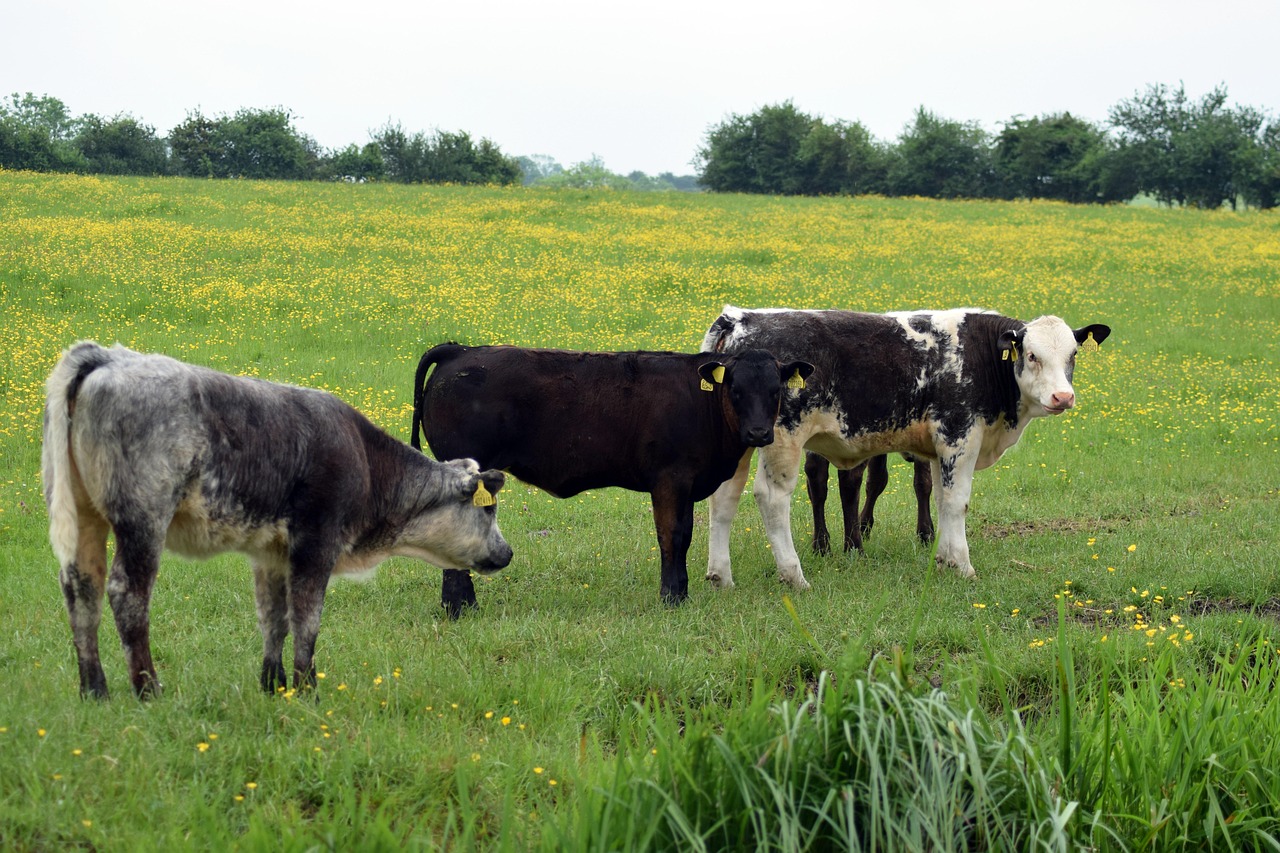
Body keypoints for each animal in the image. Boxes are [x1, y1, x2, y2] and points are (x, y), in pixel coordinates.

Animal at [45, 340, 514, 696]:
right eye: (488, 509)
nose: (507, 552)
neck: (365, 459)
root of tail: (108, 358)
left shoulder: (270, 551)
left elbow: (274, 618)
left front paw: (274, 686)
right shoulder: (317, 543)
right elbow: (306, 620)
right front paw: (308, 690)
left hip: (83, 516)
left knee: (81, 588)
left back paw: (95, 690)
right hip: (143, 519)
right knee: (127, 595)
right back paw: (147, 689)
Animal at [409, 338, 808, 612]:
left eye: (775, 390)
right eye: (736, 390)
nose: (759, 433)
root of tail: (460, 349)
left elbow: (684, 537)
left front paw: (680, 593)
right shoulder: (670, 479)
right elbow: (673, 536)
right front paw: (672, 597)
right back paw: (461, 608)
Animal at [701, 302, 1111, 589]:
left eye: (1073, 355)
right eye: (1031, 355)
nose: (1063, 397)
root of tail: (742, 317)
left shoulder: (938, 448)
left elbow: (939, 499)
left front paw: (944, 559)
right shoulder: (959, 435)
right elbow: (957, 502)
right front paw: (964, 566)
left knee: (724, 498)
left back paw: (721, 576)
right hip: (782, 437)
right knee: (772, 498)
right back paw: (794, 575)